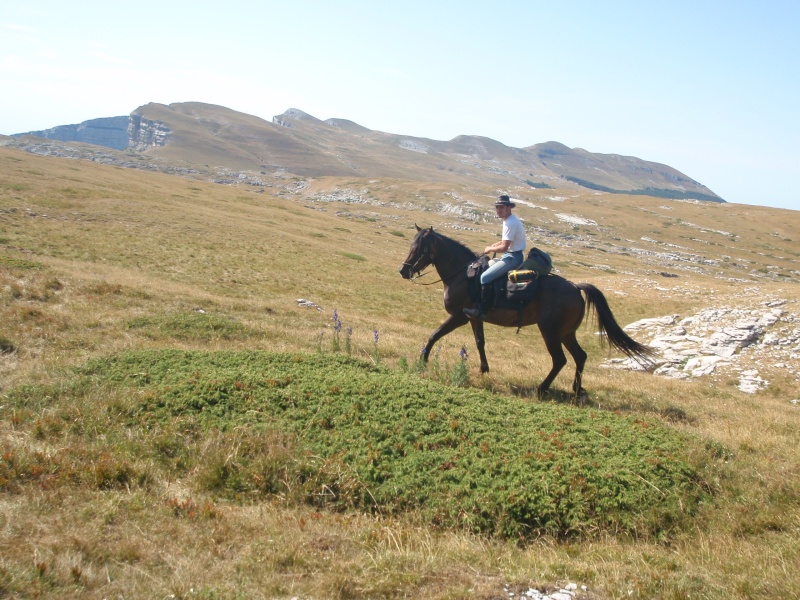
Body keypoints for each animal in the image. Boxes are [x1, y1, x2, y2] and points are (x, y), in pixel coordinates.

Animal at [396, 225, 652, 398]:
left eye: (419, 248)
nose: (403, 271)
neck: (462, 275)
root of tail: (576, 288)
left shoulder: (458, 316)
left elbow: (434, 335)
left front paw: (422, 360)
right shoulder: (473, 317)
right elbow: (480, 342)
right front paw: (484, 369)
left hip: (550, 332)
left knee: (560, 360)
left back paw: (541, 389)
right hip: (566, 333)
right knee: (580, 356)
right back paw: (577, 390)